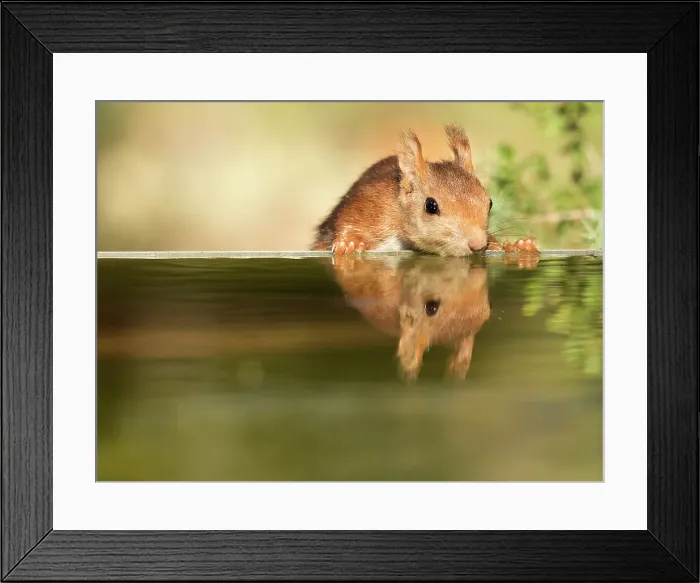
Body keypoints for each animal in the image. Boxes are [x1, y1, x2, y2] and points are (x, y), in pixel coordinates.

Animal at [311, 124, 539, 256]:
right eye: (431, 206)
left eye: (489, 203)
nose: (477, 245)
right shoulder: (372, 206)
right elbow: (347, 221)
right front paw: (349, 243)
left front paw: (516, 246)